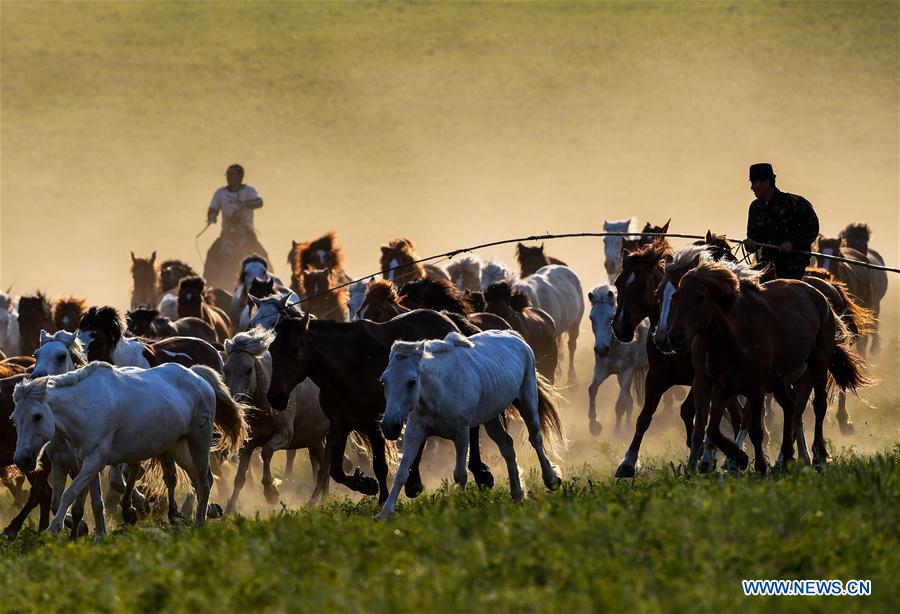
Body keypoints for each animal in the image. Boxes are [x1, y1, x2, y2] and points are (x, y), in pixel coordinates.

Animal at [11, 360, 250, 536]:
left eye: (37, 416)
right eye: (14, 419)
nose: (22, 460)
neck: (88, 405)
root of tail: (197, 376)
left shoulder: (94, 461)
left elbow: (69, 494)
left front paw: (53, 529)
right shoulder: (86, 463)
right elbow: (94, 502)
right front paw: (100, 535)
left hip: (199, 440)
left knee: (204, 481)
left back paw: (199, 524)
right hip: (178, 446)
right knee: (198, 480)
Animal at [374, 332, 564, 520]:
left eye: (412, 381)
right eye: (384, 381)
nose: (389, 426)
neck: (439, 390)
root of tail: (515, 336)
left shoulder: (461, 433)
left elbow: (460, 474)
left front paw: (461, 504)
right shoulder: (415, 433)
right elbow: (401, 473)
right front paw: (384, 512)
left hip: (527, 401)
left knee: (536, 439)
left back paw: (551, 480)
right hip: (491, 418)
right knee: (507, 447)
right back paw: (517, 493)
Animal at [588, 286, 644, 436]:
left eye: (611, 318)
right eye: (591, 318)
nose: (601, 349)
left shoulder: (626, 372)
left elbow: (621, 405)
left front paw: (618, 433)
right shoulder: (602, 369)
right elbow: (592, 389)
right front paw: (594, 425)